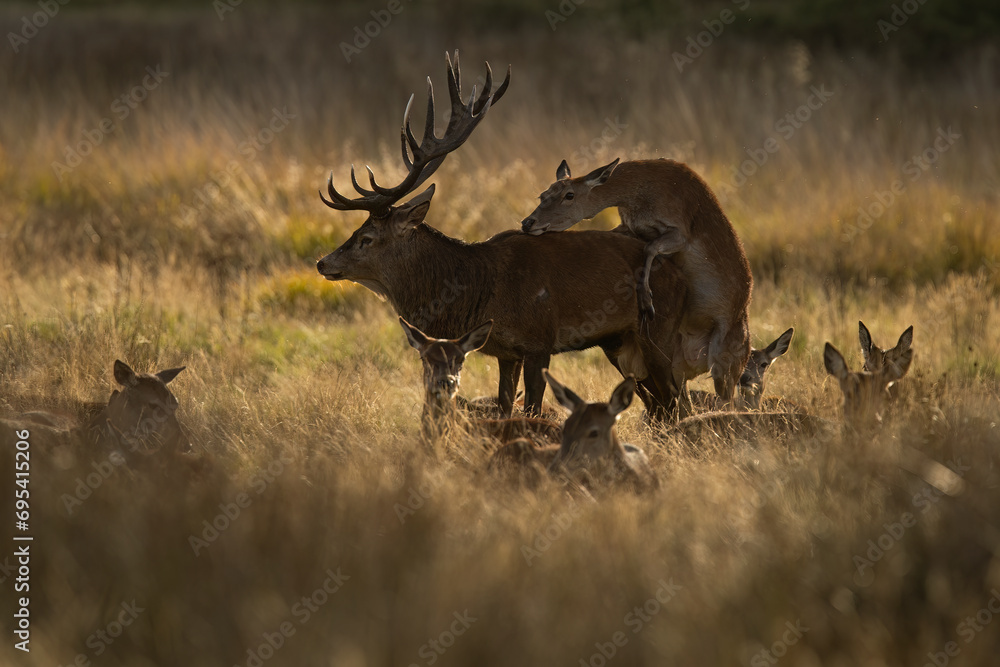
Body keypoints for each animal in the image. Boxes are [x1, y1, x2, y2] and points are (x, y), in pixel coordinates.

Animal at [315, 52, 687, 421]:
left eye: (366, 237)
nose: (323, 263)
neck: (481, 290)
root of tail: (679, 273)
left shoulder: (539, 340)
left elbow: (532, 407)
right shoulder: (506, 352)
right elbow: (505, 406)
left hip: (658, 330)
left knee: (677, 401)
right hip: (619, 343)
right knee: (661, 406)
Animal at [520, 158, 754, 414]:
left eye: (569, 194)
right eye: (542, 194)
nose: (527, 222)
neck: (640, 192)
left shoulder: (679, 233)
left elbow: (650, 249)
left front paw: (647, 301)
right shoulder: (631, 228)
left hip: (724, 361)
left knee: (729, 402)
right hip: (676, 366)